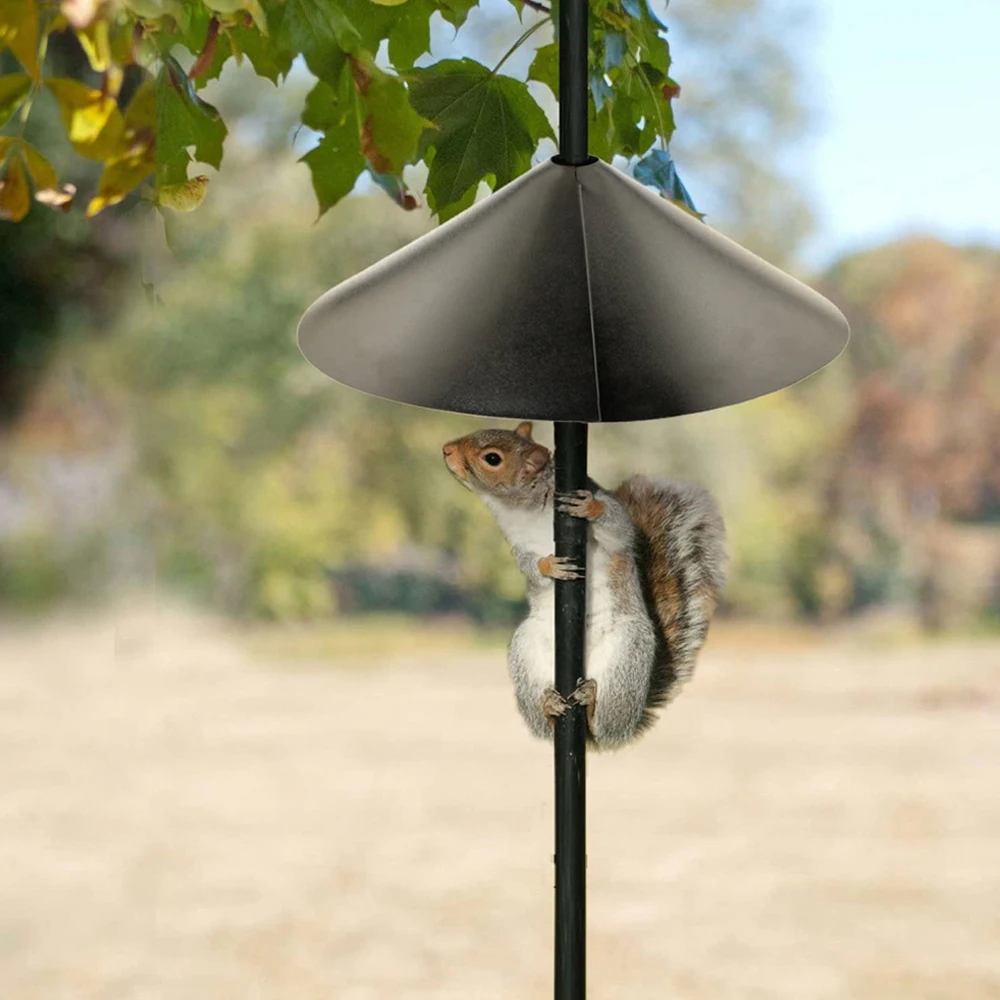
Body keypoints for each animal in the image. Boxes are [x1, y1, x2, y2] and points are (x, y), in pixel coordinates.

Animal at [443, 421, 727, 750]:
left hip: (627, 654)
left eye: (492, 458)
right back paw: (549, 707)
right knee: (545, 727)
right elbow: (529, 567)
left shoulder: (612, 521)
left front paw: (590, 507)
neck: (523, 508)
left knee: (605, 726)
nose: (446, 450)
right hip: (526, 648)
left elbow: (619, 530)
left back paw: (591, 705)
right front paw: (549, 567)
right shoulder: (518, 546)